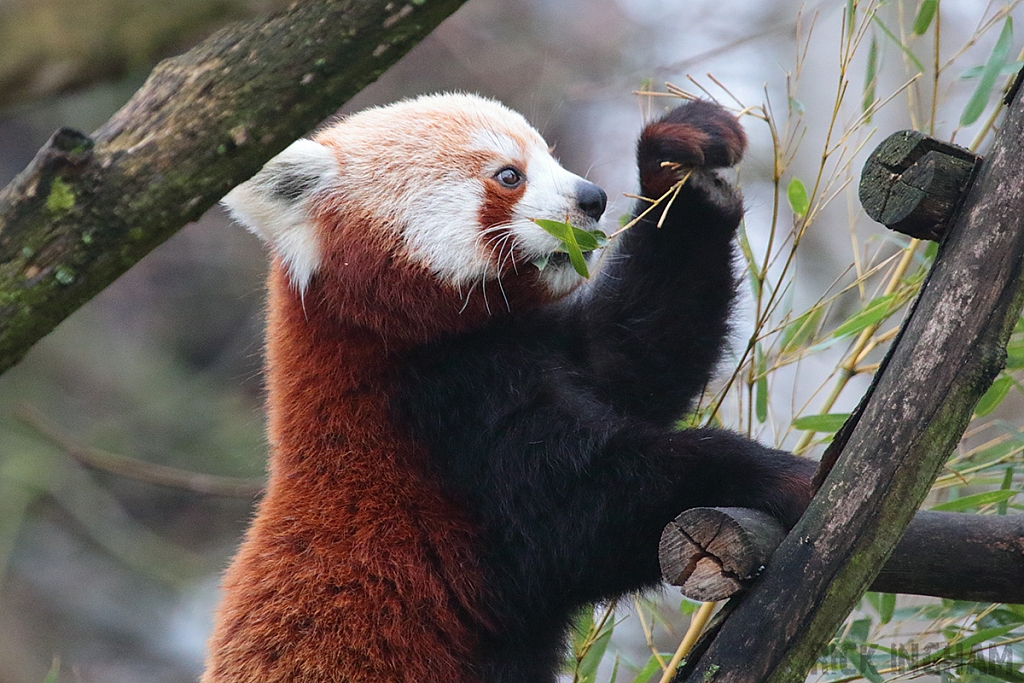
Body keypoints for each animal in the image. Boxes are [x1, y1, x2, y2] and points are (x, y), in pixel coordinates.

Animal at [209, 92, 815, 683]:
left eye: (550, 155)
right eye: (509, 175)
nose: (593, 198)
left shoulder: (545, 349)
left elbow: (641, 348)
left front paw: (682, 159)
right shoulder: (440, 434)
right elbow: (582, 511)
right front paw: (780, 476)